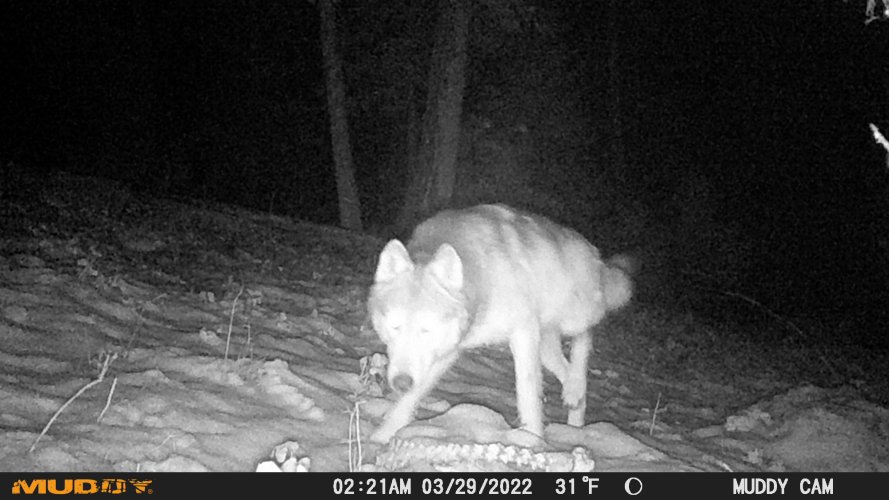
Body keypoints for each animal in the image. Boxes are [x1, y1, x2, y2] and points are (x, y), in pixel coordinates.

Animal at [367, 204, 632, 444]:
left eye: (426, 329)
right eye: (395, 326)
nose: (401, 383)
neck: (481, 281)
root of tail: (595, 254)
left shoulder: (523, 333)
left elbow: (528, 394)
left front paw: (532, 439)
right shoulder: (446, 353)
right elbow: (406, 403)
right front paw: (379, 439)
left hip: (572, 320)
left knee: (586, 337)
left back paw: (575, 388)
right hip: (546, 348)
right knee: (571, 375)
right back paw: (575, 415)